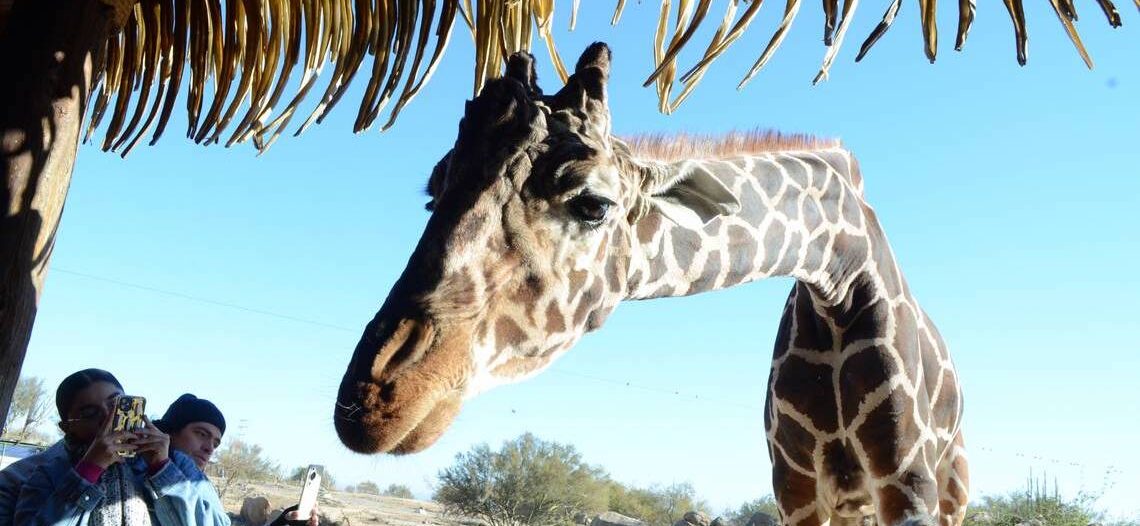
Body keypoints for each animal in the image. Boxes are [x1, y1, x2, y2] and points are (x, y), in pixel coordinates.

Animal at [334, 43, 969, 526]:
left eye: (593, 204)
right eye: (433, 191)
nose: (372, 399)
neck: (839, 274)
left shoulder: (907, 482)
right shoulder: (795, 486)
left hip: (950, 488)